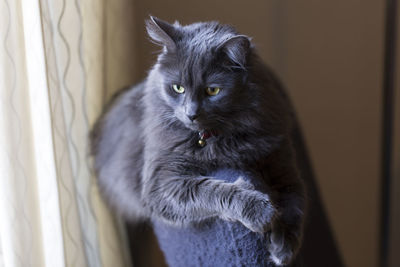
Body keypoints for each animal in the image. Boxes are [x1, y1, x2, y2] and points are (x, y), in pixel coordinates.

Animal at [90, 17, 306, 267]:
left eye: (212, 90)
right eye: (178, 87)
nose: (191, 114)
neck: (216, 138)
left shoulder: (283, 164)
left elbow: (294, 205)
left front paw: (283, 246)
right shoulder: (162, 181)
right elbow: (211, 190)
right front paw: (260, 211)